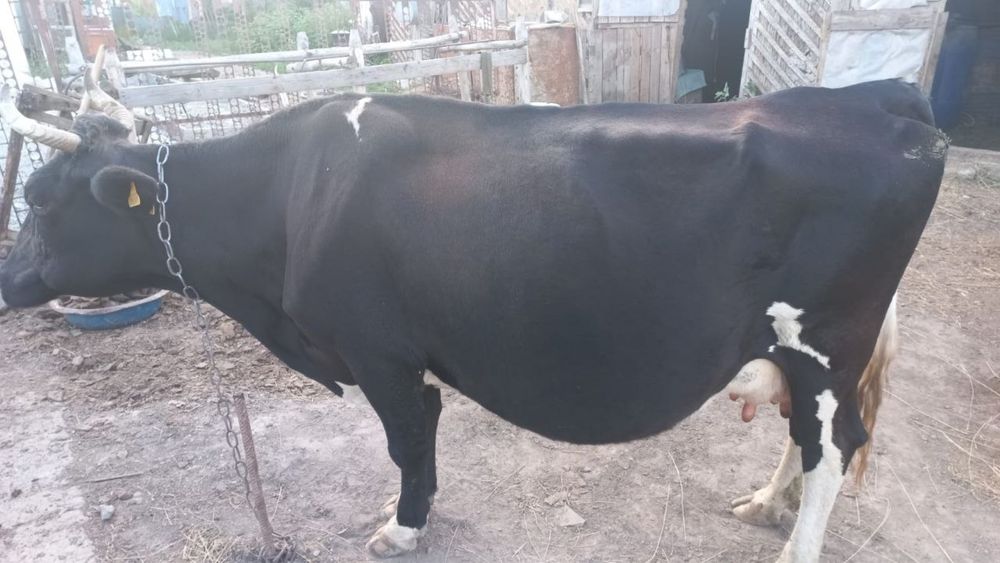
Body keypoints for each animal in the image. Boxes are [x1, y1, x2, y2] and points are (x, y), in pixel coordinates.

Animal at [0, 76, 946, 561]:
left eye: (40, 201)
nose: (6, 278)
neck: (289, 193)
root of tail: (876, 97)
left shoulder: (378, 351)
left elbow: (407, 440)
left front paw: (402, 524)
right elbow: (420, 436)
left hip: (826, 339)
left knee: (835, 447)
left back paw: (794, 547)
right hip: (801, 351)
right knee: (805, 439)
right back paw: (760, 502)